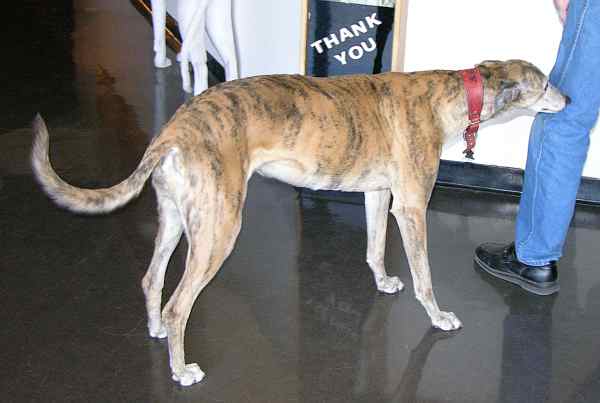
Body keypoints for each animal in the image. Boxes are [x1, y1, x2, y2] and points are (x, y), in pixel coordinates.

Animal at [31, 59, 568, 386]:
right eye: (545, 83)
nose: (570, 102)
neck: (455, 93)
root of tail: (175, 127)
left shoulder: (379, 195)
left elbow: (375, 248)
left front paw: (383, 281)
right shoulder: (412, 206)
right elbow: (425, 277)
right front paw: (438, 316)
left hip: (178, 220)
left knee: (150, 279)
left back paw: (157, 332)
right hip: (219, 227)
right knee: (178, 304)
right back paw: (181, 371)